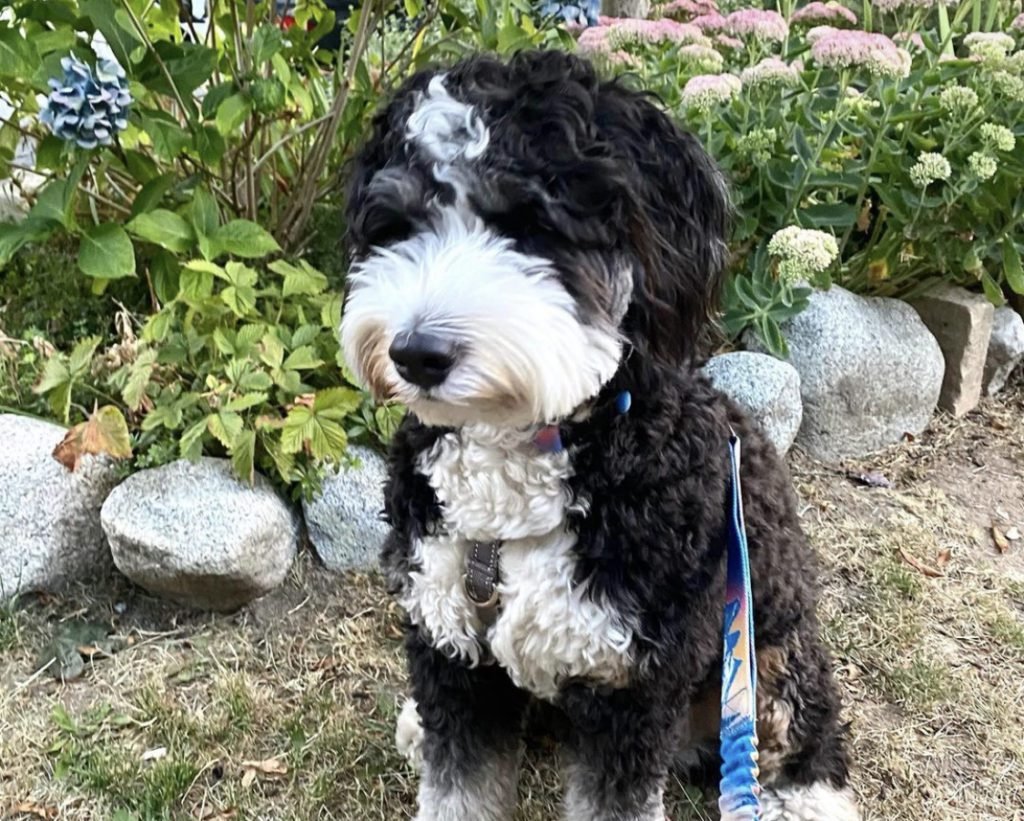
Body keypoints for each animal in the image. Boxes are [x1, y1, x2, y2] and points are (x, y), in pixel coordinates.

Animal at [339, 51, 860, 818]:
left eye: (530, 226)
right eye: (399, 226)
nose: (415, 354)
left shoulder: (633, 682)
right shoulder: (452, 650)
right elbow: (458, 779)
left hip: (767, 641)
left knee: (803, 715)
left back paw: (812, 793)